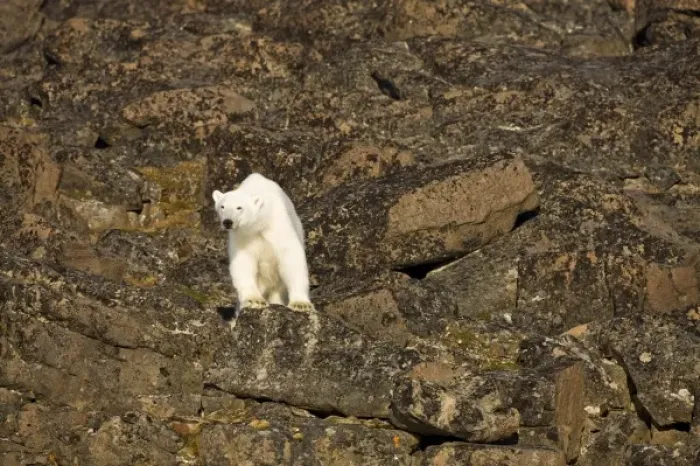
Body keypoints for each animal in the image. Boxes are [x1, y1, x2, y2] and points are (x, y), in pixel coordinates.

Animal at [212, 173, 315, 313]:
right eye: (222, 207)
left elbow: (290, 256)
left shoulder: (278, 225)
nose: (227, 222)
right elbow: (244, 261)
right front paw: (254, 300)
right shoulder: (243, 236)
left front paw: (301, 304)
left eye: (239, 207)